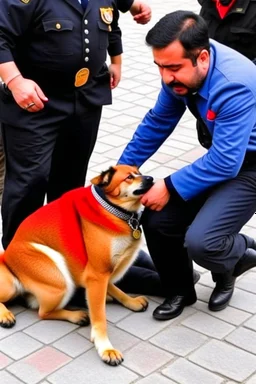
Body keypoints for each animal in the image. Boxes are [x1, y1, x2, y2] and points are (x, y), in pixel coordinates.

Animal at [0, 165, 153, 366]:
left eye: (139, 172)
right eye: (128, 177)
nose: (151, 179)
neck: (113, 210)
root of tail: (6, 258)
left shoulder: (100, 272)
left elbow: (115, 288)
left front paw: (130, 301)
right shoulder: (97, 273)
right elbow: (100, 318)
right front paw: (106, 348)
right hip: (55, 278)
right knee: (42, 312)